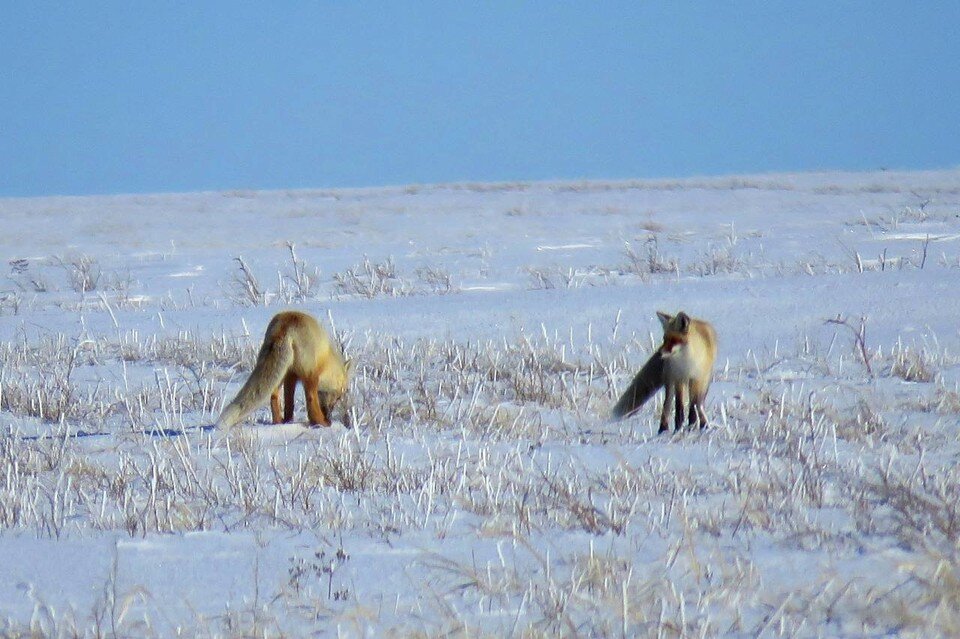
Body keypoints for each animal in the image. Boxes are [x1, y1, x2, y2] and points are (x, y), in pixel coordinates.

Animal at [217, 312, 352, 430]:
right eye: (339, 396)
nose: (328, 414)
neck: (327, 360)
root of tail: (286, 323)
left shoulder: (290, 375)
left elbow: (289, 402)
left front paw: (288, 420)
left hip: (280, 373)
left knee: (274, 396)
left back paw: (278, 422)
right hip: (308, 376)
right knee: (310, 399)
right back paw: (319, 423)